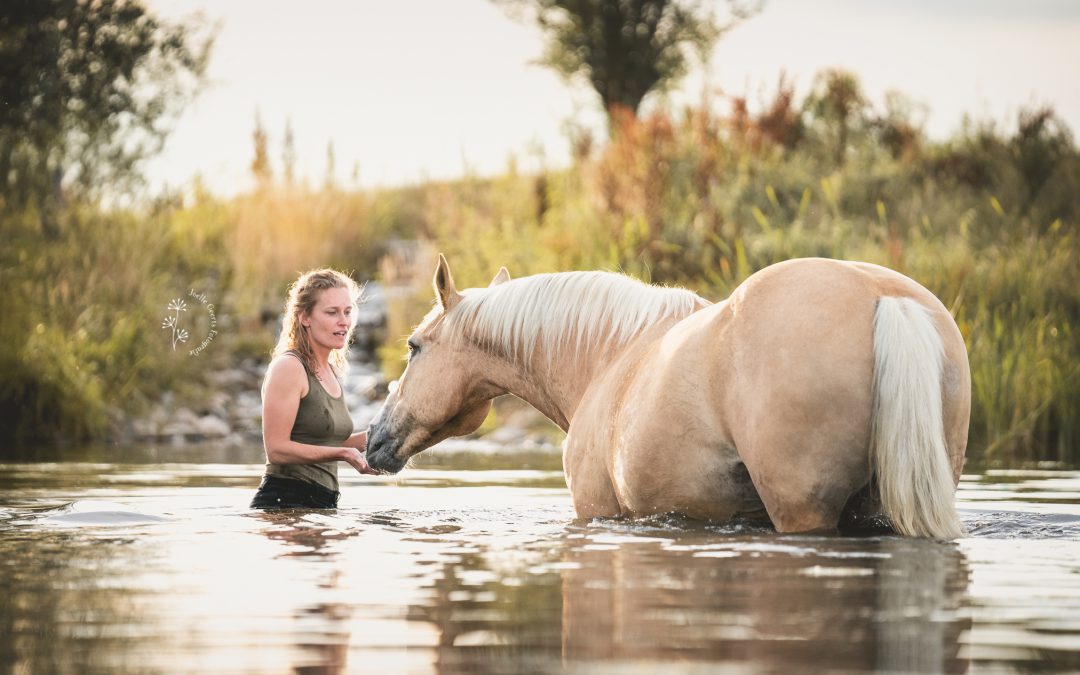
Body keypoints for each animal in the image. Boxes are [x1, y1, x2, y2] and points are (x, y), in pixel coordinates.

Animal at [369, 254, 972, 540]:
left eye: (414, 347)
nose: (374, 439)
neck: (607, 355)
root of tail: (883, 298)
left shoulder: (595, 510)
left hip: (803, 508)